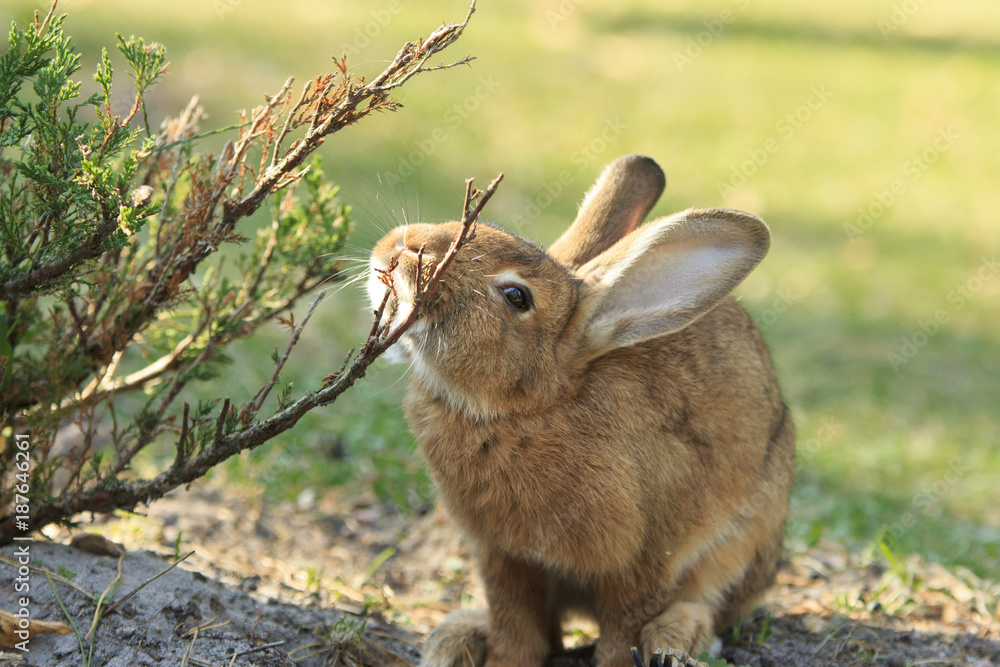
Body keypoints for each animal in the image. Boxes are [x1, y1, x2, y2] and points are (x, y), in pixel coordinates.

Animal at [366, 155, 795, 667]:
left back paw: (675, 637)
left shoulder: (640, 559)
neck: (529, 409)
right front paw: (506, 661)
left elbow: (624, 624)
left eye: (516, 297)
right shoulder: (503, 557)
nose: (402, 243)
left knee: (707, 602)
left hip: (741, 545)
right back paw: (457, 636)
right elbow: (516, 624)